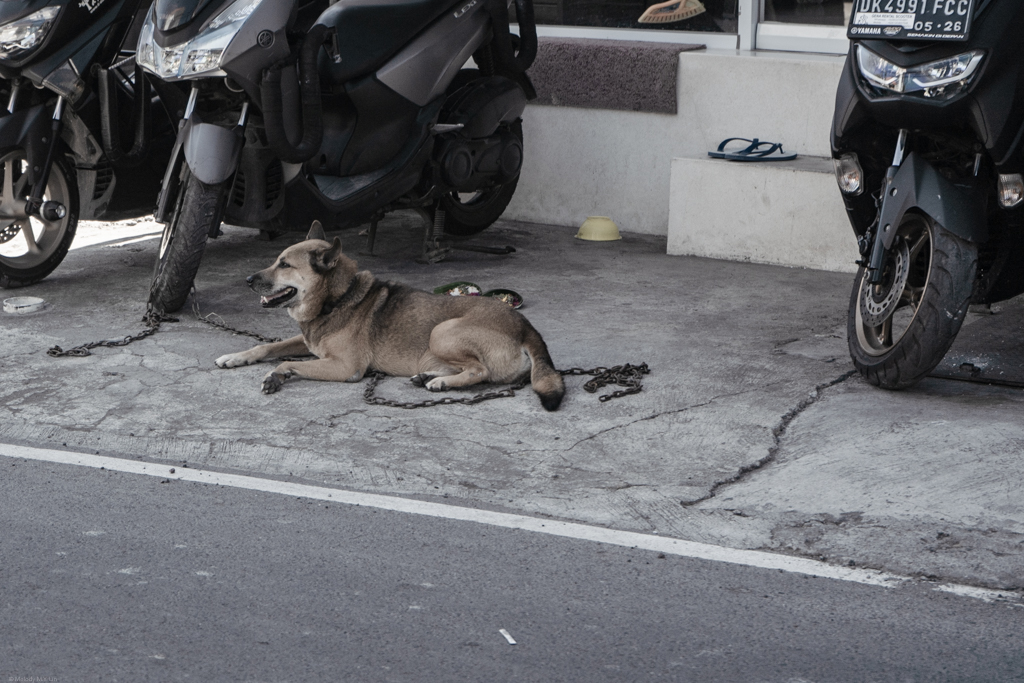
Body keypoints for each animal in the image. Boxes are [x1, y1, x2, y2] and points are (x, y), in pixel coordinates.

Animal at [217, 222, 569, 411]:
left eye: (285, 265)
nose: (248, 280)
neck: (337, 298)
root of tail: (526, 327)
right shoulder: (308, 341)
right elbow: (268, 346)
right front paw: (236, 357)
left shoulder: (345, 367)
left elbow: (287, 361)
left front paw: (277, 375)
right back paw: (428, 376)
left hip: (442, 331)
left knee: (479, 370)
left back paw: (440, 382)